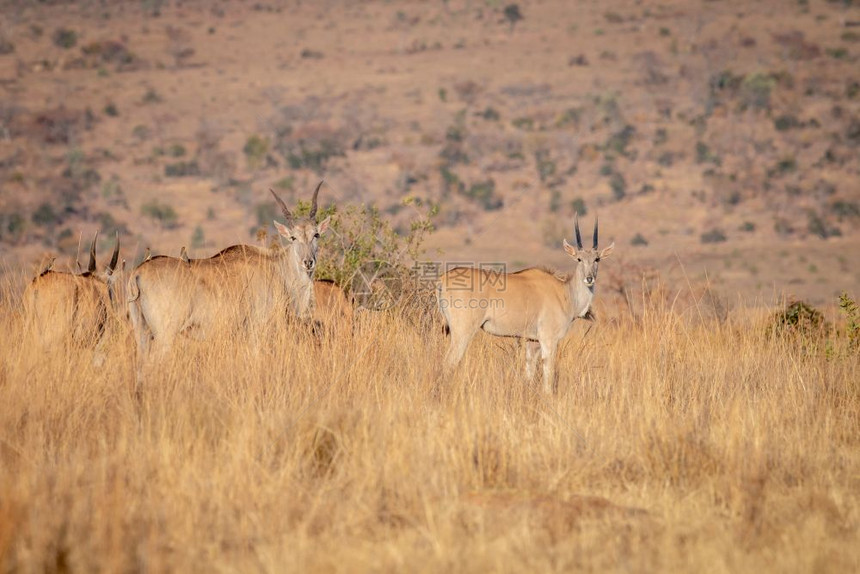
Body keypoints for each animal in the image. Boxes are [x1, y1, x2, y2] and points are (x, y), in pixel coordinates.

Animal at [126, 182, 330, 362]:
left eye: (316, 235)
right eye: (293, 237)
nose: (308, 262)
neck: (277, 267)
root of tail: (138, 272)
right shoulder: (257, 330)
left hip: (142, 334)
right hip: (165, 336)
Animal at [440, 216, 616, 396]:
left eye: (597, 259)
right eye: (579, 259)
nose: (589, 278)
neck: (565, 292)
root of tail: (443, 278)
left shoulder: (532, 342)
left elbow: (529, 373)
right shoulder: (548, 339)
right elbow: (548, 372)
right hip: (463, 332)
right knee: (449, 362)